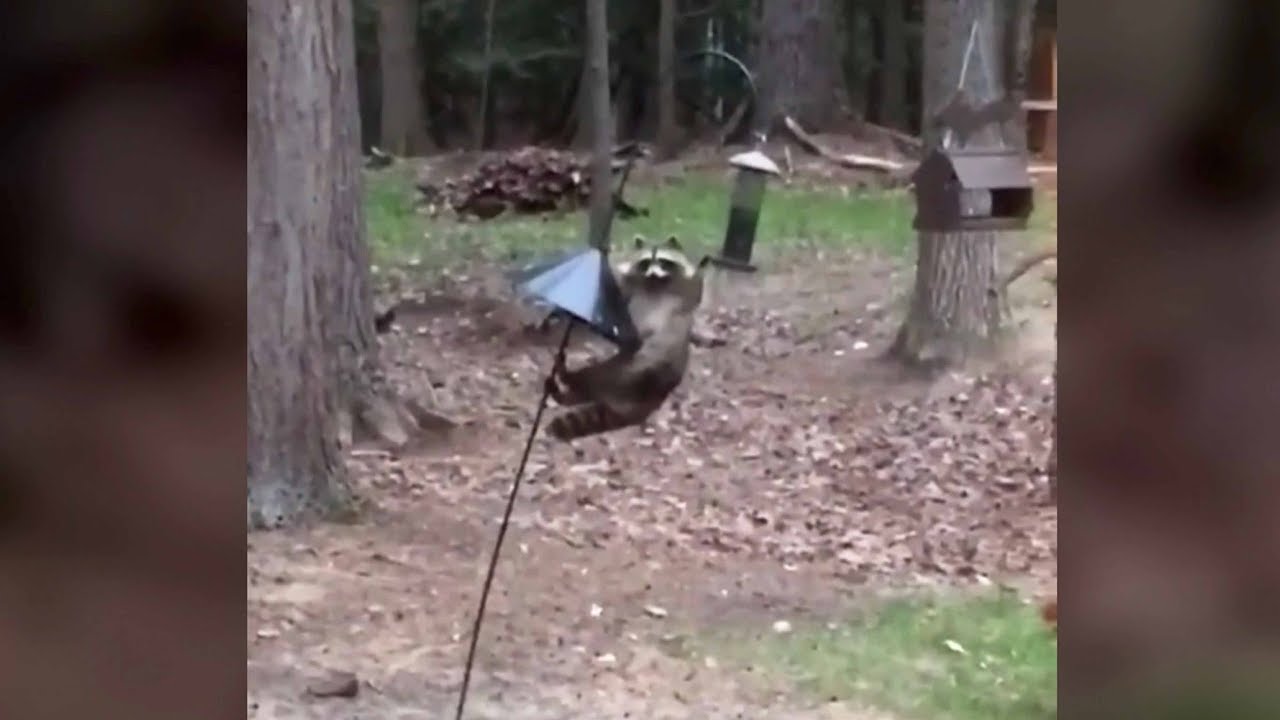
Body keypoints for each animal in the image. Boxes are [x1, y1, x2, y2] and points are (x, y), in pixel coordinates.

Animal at [546, 234, 709, 441]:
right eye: (646, 262)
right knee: (589, 382)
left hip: (648, 369)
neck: (655, 286)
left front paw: (701, 266)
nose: (653, 274)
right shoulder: (627, 288)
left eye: (663, 261)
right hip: (618, 369)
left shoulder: (684, 294)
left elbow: (696, 290)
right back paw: (565, 385)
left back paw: (566, 380)